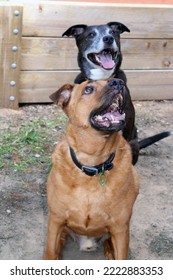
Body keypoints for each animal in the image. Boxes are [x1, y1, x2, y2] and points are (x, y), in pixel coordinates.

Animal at [44, 77, 139, 260]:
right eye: (88, 89)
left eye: (113, 79)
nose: (118, 82)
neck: (93, 163)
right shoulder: (56, 221)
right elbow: (50, 252)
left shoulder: (120, 228)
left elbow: (122, 254)